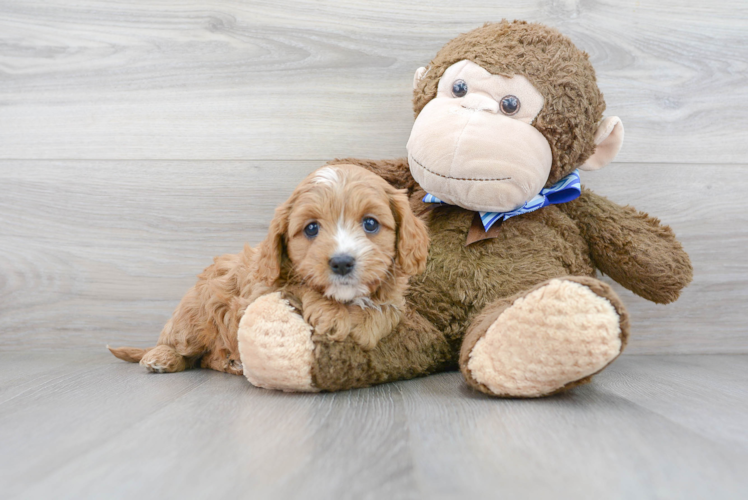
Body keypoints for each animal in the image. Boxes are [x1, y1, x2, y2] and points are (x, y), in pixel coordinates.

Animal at [108, 165, 430, 376]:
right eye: (311, 228)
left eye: (371, 223)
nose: (341, 263)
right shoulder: (258, 292)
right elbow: (299, 287)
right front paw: (332, 315)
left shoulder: (393, 299)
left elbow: (384, 310)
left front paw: (362, 324)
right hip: (192, 319)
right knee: (181, 348)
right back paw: (161, 357)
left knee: (205, 359)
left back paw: (230, 362)